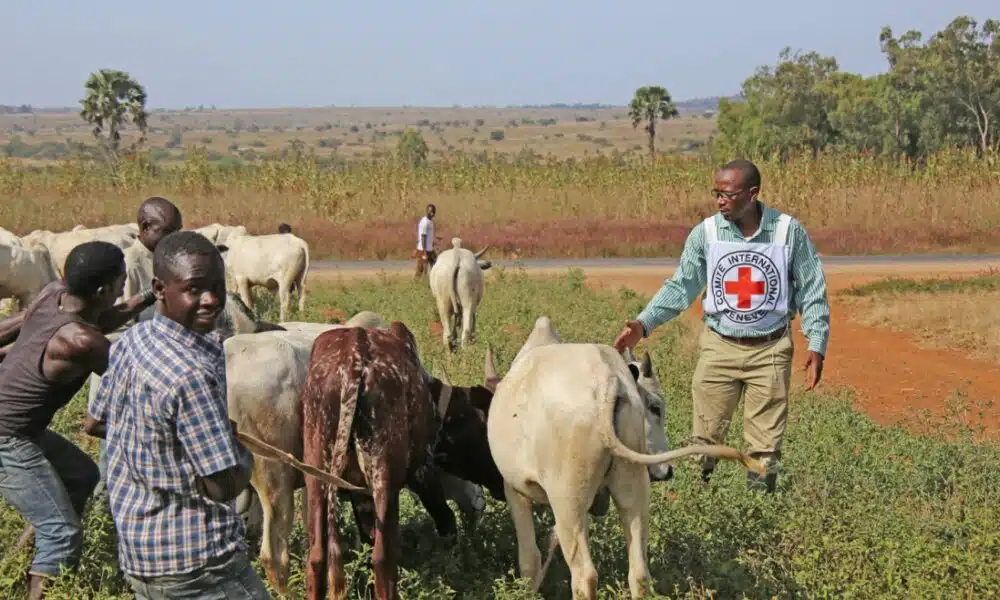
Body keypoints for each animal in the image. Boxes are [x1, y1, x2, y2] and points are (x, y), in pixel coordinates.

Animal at [488, 318, 760, 600]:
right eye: (654, 407)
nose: (667, 471)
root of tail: (607, 381)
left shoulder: (515, 489)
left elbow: (529, 559)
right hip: (633, 488)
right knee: (639, 572)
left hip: (567, 500)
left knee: (584, 575)